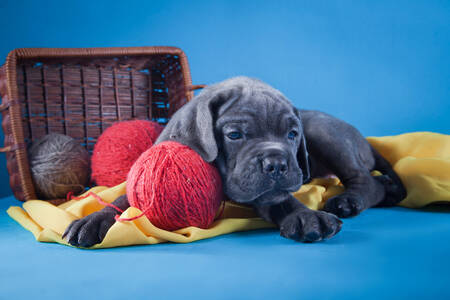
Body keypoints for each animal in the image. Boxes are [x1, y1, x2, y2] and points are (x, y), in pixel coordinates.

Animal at [62, 75, 404, 246]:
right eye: (235, 134)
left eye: (292, 134)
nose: (277, 163)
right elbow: (122, 198)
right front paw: (94, 219)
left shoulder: (270, 189)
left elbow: (282, 200)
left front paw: (306, 216)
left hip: (323, 131)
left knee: (367, 181)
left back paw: (348, 201)